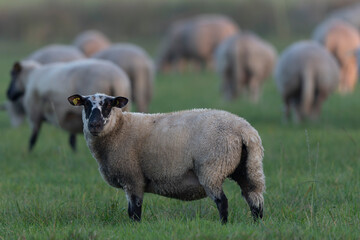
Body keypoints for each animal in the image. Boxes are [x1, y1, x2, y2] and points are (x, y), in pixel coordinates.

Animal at [67, 93, 266, 223]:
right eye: (85, 105)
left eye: (108, 105)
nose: (94, 125)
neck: (119, 128)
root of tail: (244, 130)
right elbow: (132, 210)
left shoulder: (132, 177)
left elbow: (134, 210)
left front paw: (135, 227)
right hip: (249, 167)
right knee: (255, 199)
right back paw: (257, 225)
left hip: (212, 169)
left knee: (222, 202)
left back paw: (223, 225)